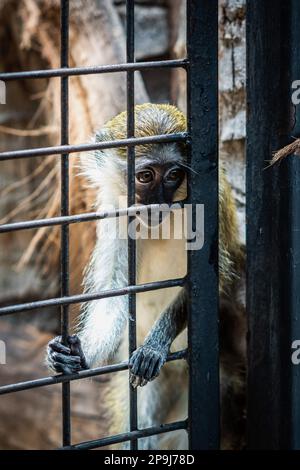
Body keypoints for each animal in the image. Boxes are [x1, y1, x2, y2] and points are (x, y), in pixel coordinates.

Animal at [45, 103, 245, 452]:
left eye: (174, 175)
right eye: (145, 176)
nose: (158, 202)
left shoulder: (214, 202)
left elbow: (207, 281)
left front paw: (154, 345)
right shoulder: (115, 213)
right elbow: (113, 293)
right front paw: (78, 355)